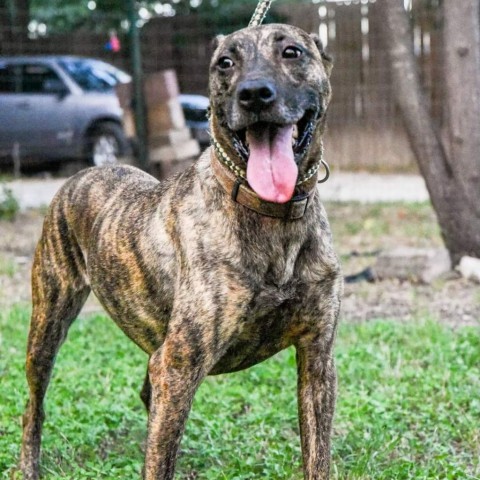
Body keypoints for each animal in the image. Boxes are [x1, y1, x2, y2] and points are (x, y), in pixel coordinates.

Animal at [19, 23, 342, 480]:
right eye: (225, 62)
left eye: (292, 52)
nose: (253, 94)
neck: (271, 216)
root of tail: (85, 172)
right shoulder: (178, 366)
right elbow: (159, 460)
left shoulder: (317, 360)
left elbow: (318, 457)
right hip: (48, 324)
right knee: (34, 406)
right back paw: (28, 464)